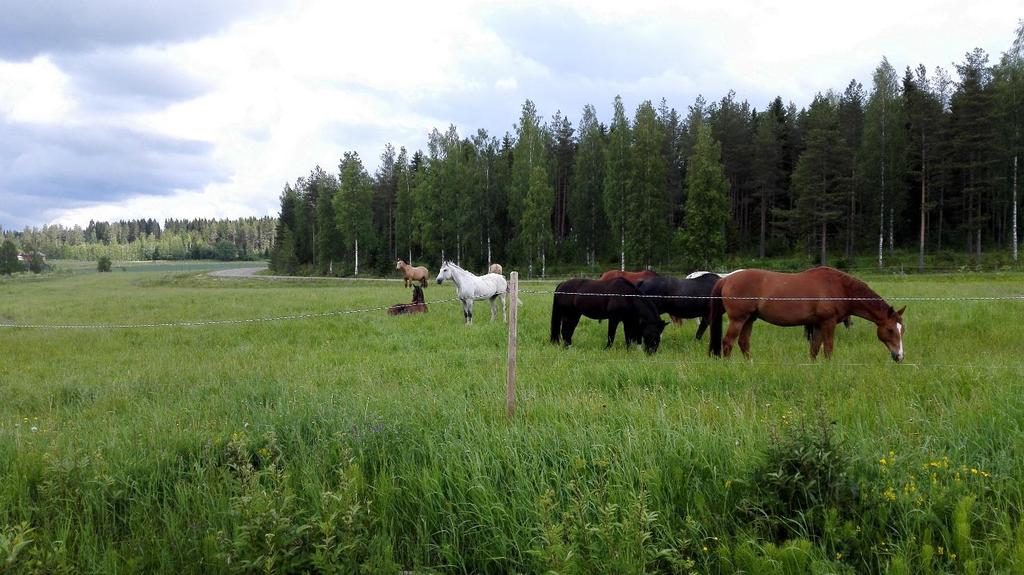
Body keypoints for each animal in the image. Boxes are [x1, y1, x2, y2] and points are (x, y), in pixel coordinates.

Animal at [712, 266, 905, 360]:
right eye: (890, 330)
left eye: (902, 330)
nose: (900, 356)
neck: (840, 288)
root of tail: (727, 278)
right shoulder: (828, 323)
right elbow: (828, 349)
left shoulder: (818, 325)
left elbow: (814, 350)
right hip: (738, 319)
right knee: (728, 342)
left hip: (749, 320)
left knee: (744, 343)